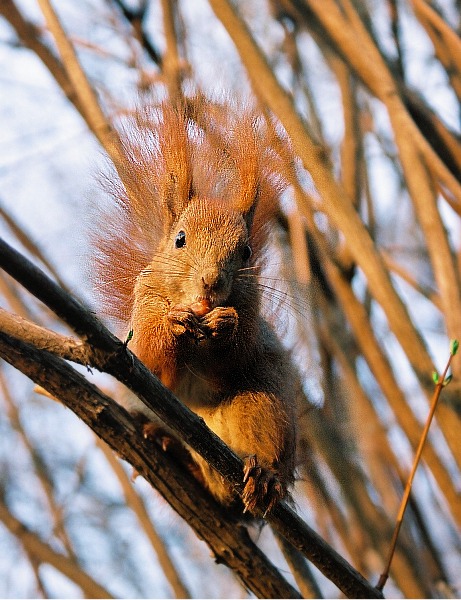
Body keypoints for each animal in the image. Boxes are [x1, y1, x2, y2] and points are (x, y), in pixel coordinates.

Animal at [93, 99, 298, 516]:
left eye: (246, 252)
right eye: (180, 239)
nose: (211, 282)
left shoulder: (251, 317)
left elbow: (232, 359)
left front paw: (225, 324)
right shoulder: (144, 306)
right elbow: (150, 359)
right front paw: (173, 324)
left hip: (264, 406)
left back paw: (265, 479)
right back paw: (167, 443)